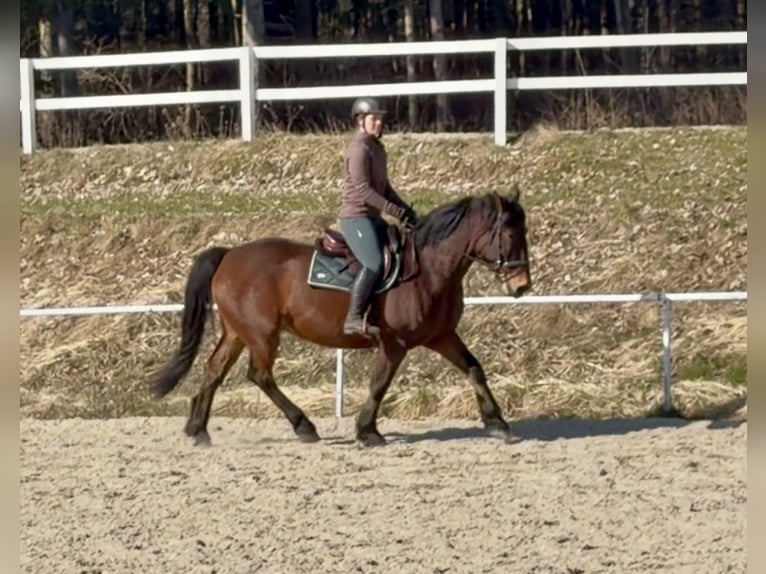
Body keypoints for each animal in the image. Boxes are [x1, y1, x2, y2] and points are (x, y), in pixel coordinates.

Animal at [150, 189, 532, 447]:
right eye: (510, 234)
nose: (522, 285)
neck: (428, 269)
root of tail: (229, 254)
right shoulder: (395, 343)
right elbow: (379, 384)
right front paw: (367, 431)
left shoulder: (442, 336)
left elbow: (474, 368)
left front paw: (497, 423)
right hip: (262, 334)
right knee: (260, 375)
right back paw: (303, 426)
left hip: (237, 332)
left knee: (214, 370)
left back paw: (198, 429)